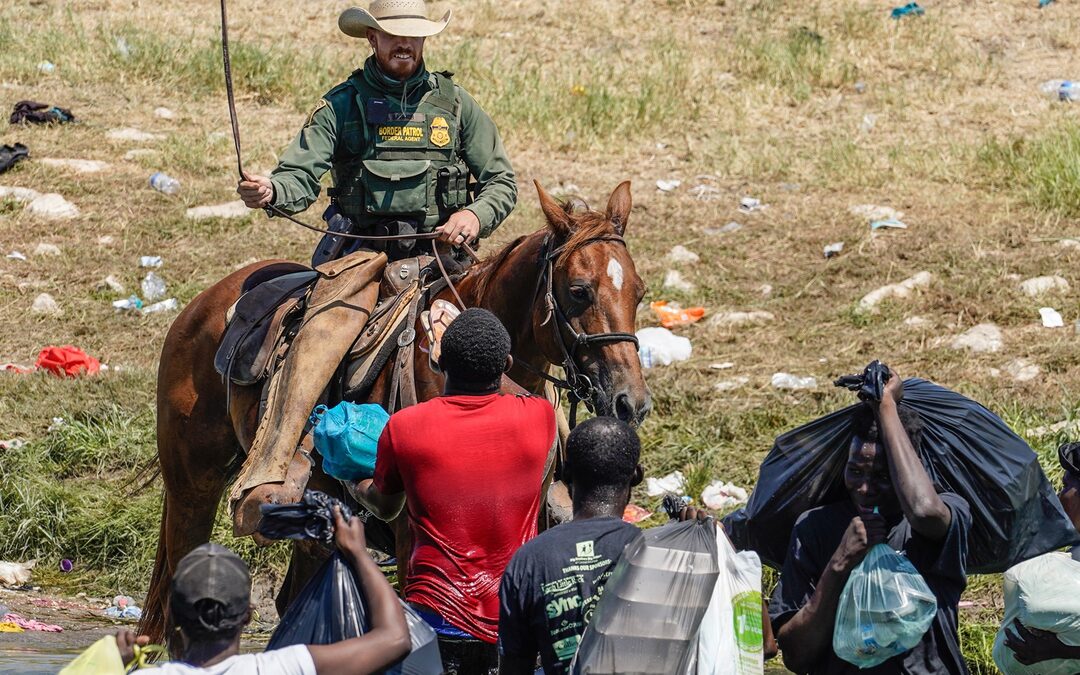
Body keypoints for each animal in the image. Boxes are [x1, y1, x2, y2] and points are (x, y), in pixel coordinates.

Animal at [139, 180, 652, 643]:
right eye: (580, 291)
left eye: (640, 292)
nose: (631, 401)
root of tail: (204, 303)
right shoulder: (414, 537)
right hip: (192, 488)